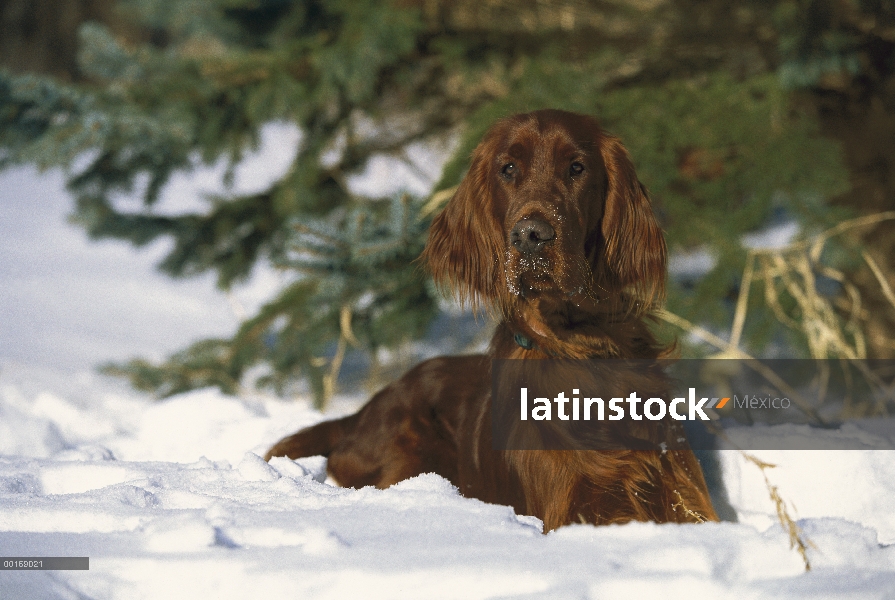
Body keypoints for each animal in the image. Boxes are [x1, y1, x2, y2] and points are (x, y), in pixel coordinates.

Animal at [268, 109, 720, 528]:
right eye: (508, 169)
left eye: (577, 167)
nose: (531, 236)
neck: (580, 341)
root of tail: (359, 414)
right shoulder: (574, 509)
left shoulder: (683, 500)